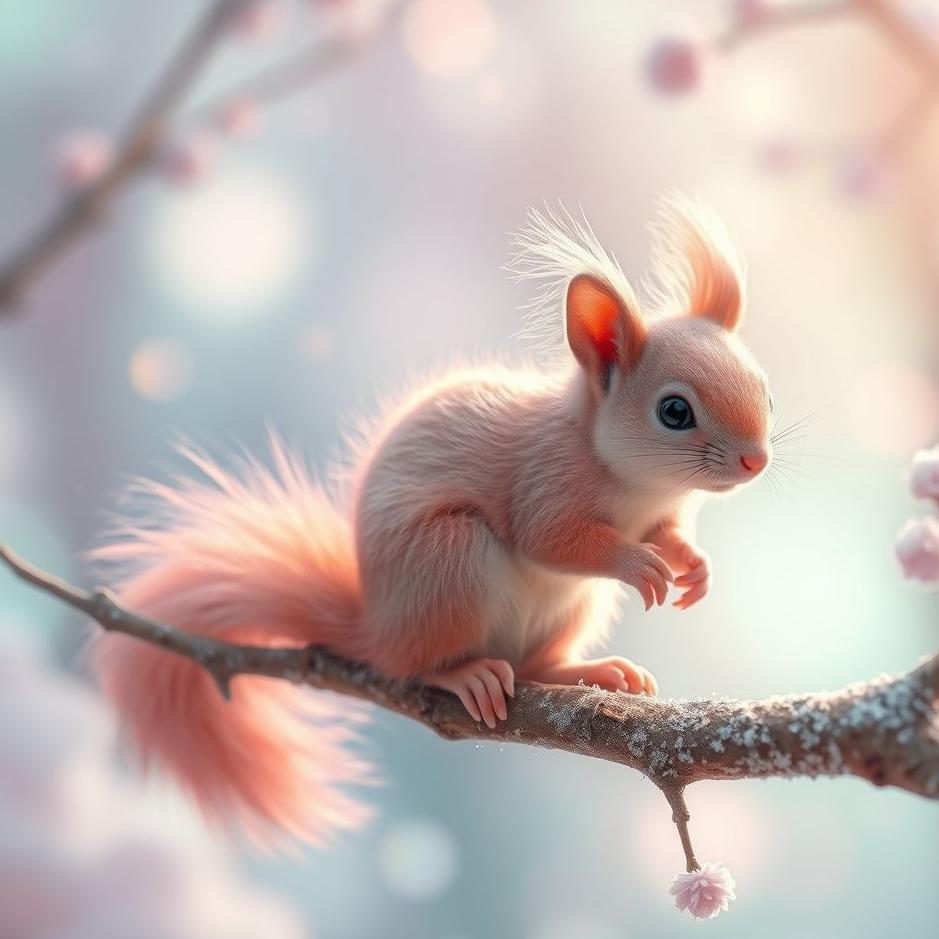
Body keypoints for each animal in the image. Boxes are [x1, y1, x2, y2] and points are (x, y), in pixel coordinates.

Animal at [91, 195, 773, 848]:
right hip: (451, 560)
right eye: (675, 411)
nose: (757, 460)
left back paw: (589, 670)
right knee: (421, 665)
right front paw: (640, 564)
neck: (638, 484)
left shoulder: (659, 512)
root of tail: (378, 628)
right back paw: (465, 673)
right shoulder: (544, 479)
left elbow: (667, 536)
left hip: (569, 607)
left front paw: (693, 566)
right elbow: (552, 540)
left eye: (766, 388)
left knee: (532, 666)